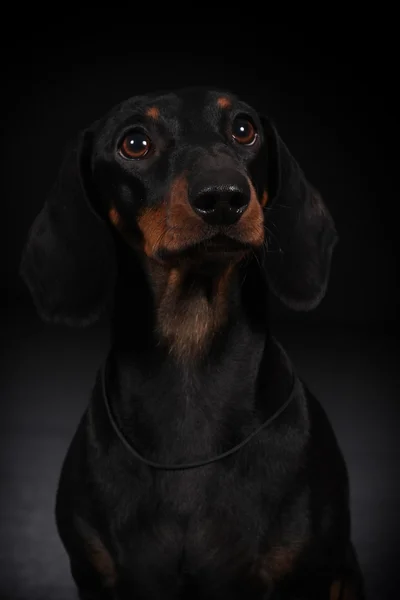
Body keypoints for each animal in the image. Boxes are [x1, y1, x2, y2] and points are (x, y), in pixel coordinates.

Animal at [18, 89, 364, 600]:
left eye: (244, 129)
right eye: (134, 143)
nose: (223, 197)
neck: (190, 355)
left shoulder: (308, 575)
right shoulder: (94, 575)